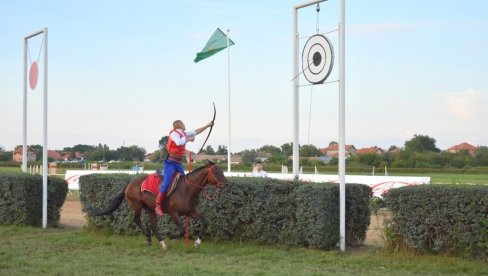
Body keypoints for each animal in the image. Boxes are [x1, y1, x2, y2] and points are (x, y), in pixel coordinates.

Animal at [85, 160, 227, 250]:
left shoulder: (190, 211)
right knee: (136, 220)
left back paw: (162, 243)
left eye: (222, 171)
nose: (226, 184)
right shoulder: (174, 213)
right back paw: (149, 238)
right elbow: (182, 230)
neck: (187, 189)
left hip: (150, 209)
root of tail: (130, 183)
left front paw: (197, 242)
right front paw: (170, 234)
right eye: (216, 172)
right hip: (137, 205)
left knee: (153, 225)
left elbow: (205, 222)